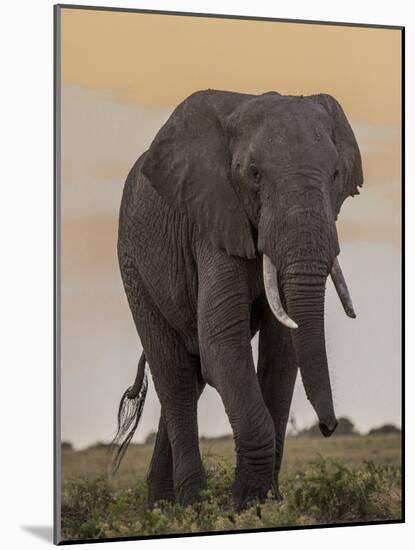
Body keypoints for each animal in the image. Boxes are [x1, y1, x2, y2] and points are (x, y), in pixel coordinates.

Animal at [112, 87, 362, 512]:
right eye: (254, 174)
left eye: (335, 176)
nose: (329, 427)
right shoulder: (212, 221)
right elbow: (222, 344)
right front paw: (245, 507)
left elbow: (282, 355)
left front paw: (267, 503)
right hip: (133, 266)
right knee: (175, 376)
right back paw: (191, 505)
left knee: (188, 377)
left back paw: (163, 508)